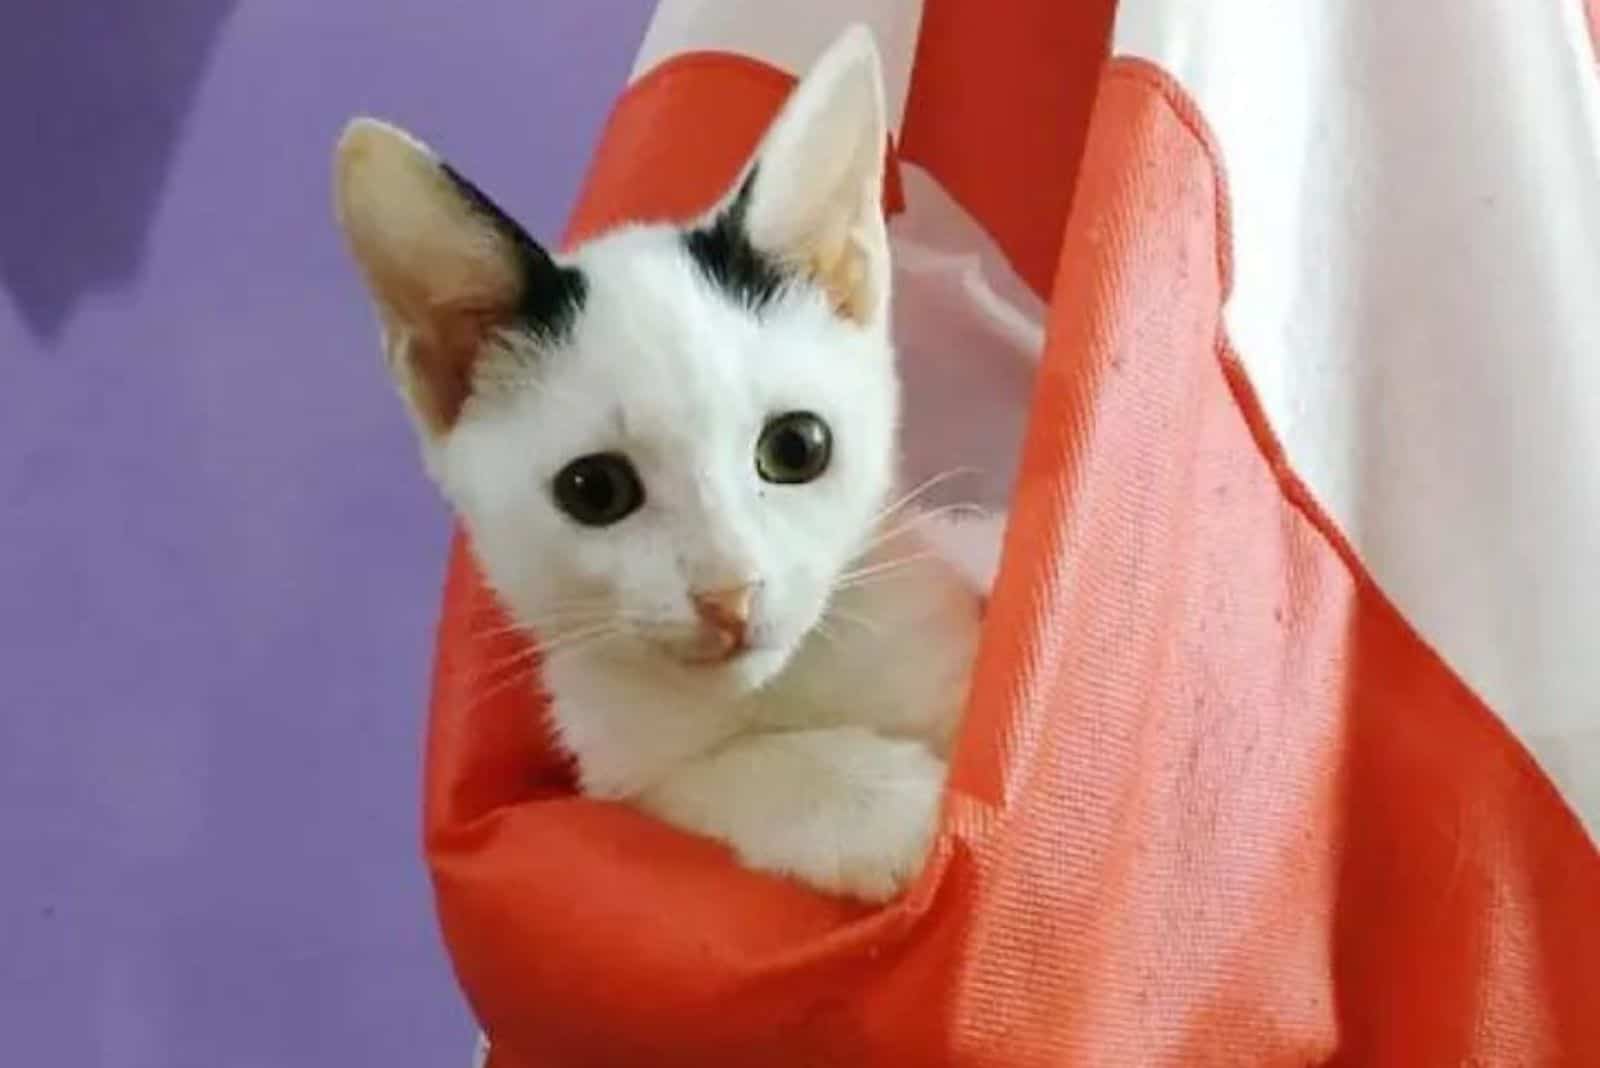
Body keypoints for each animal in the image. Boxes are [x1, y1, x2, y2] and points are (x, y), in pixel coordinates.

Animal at [331, 27, 992, 901]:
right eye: (595, 489)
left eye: (797, 447)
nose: (728, 597)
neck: (789, 687)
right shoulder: (621, 766)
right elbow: (713, 774)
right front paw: (883, 807)